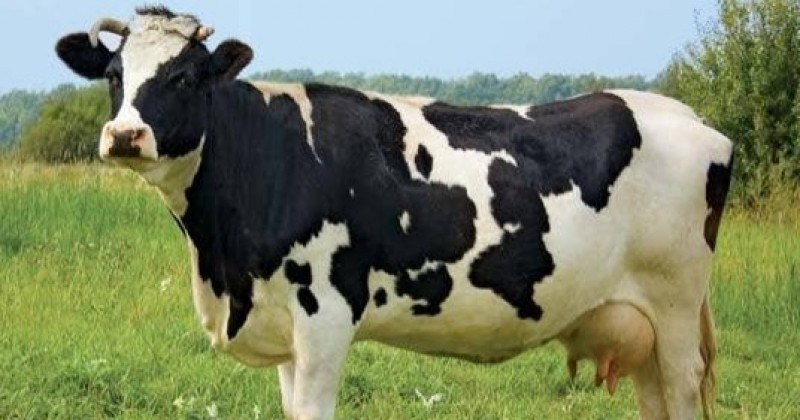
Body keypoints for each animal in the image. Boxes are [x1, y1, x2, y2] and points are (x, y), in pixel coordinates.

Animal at [55, 7, 733, 420]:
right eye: (114, 74)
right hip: (642, 323)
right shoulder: (283, 326)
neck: (222, 267)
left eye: (188, 77)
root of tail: (689, 115)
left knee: (681, 390)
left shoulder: (325, 317)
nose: (124, 135)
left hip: (674, 310)